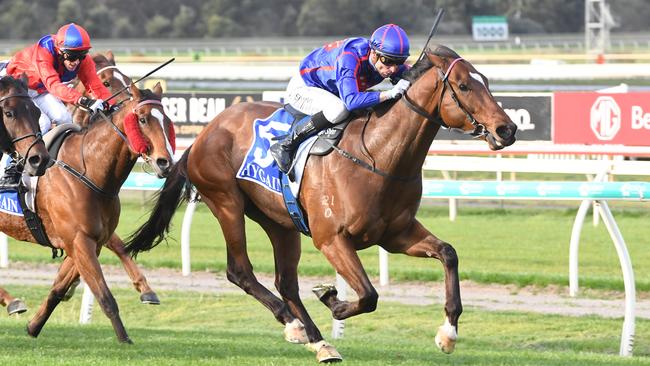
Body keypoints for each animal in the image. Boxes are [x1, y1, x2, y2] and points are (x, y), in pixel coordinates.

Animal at [0, 83, 173, 344]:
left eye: (167, 120)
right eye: (142, 119)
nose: (165, 162)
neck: (88, 171)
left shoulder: (90, 241)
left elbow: (58, 288)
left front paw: (33, 327)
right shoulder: (79, 240)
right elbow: (104, 295)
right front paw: (125, 339)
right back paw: (12, 301)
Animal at [126, 45, 516, 360]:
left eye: (486, 81)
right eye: (464, 86)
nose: (506, 130)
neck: (378, 155)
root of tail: (205, 132)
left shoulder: (397, 234)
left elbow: (448, 253)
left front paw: (448, 334)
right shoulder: (332, 239)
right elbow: (369, 295)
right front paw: (333, 300)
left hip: (280, 221)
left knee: (286, 282)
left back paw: (319, 341)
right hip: (226, 202)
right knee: (241, 271)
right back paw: (294, 325)